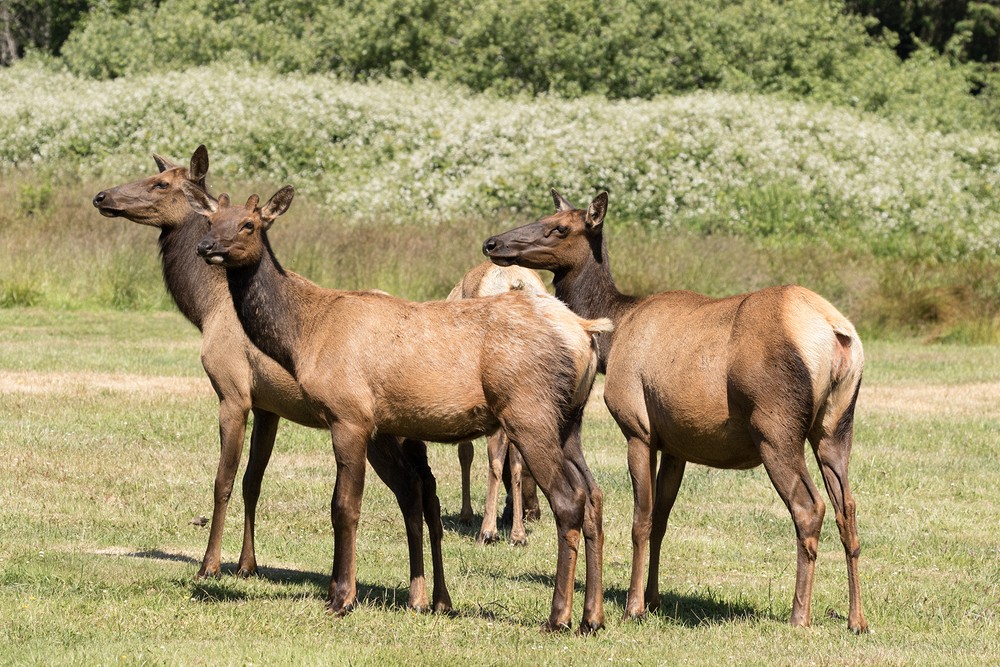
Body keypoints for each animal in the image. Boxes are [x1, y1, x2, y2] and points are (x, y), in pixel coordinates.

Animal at [92, 147, 452, 613]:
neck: (205, 308)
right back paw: (434, 597)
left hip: (378, 427)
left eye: (160, 184)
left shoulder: (233, 392)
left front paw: (210, 565)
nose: (102, 196)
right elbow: (253, 481)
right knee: (425, 489)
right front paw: (248, 564)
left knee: (413, 489)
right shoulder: (268, 406)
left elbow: (224, 479)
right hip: (404, 429)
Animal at [447, 261, 546, 545]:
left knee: (496, 455)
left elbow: (465, 452)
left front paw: (466, 514)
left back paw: (488, 530)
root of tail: (514, 283)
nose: (535, 513)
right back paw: (518, 533)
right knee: (515, 456)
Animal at [483, 189, 868, 634]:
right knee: (847, 508)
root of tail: (838, 336)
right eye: (545, 216)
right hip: (836, 427)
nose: (492, 243)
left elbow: (641, 519)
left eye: (560, 227)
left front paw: (633, 606)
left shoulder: (638, 427)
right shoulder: (676, 444)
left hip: (776, 425)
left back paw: (799, 615)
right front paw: (652, 599)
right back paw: (857, 619)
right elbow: (662, 521)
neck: (615, 332)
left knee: (810, 507)